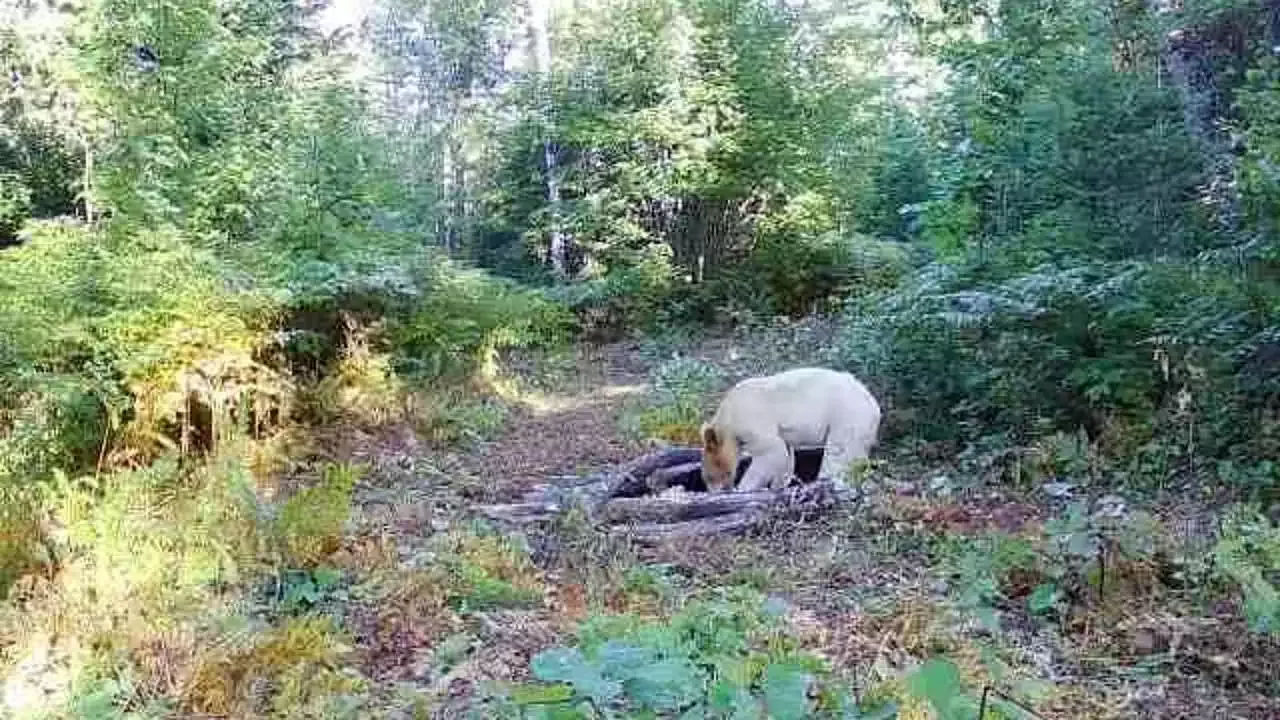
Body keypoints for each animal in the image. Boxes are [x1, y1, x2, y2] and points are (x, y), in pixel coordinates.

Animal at [701, 366, 880, 489]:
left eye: (709, 476)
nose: (714, 490)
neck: (727, 416)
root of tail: (874, 405)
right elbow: (785, 456)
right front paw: (779, 485)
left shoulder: (749, 420)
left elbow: (771, 452)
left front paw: (744, 488)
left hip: (846, 415)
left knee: (837, 455)